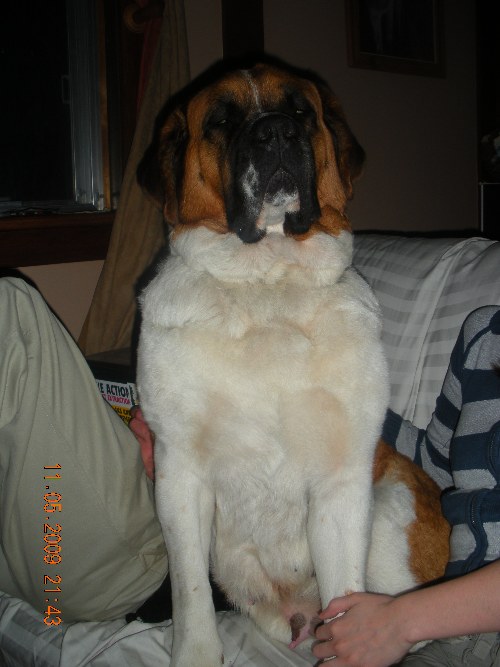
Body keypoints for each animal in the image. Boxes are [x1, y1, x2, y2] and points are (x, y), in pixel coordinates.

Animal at [137, 61, 449, 666]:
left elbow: (351, 604)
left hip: (389, 514)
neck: (268, 283)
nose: (276, 132)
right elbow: (191, 594)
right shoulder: (179, 474)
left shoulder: (342, 483)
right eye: (221, 120)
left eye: (301, 110)